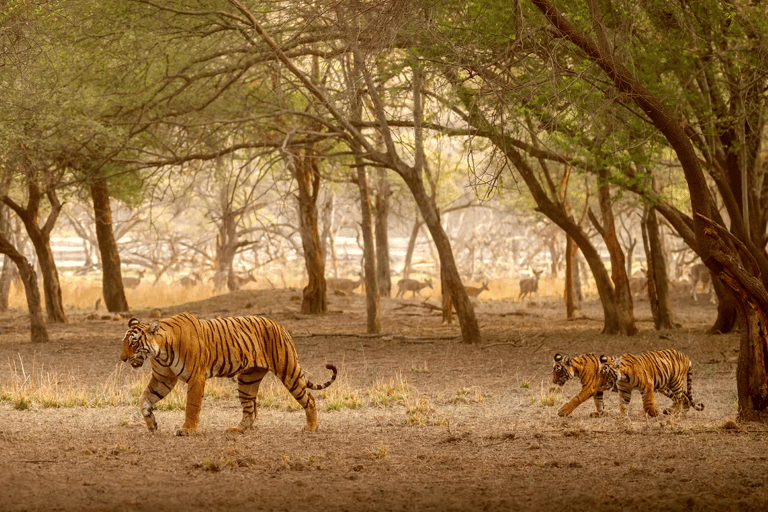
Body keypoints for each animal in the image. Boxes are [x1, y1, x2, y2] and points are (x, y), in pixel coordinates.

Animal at [120, 313, 337, 436]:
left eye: (133, 342)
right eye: (125, 342)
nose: (122, 358)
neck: (161, 351)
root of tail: (279, 325)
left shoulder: (196, 377)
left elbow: (191, 406)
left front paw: (187, 430)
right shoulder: (163, 379)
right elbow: (144, 399)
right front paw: (151, 424)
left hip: (288, 370)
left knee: (309, 399)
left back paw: (311, 428)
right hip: (247, 380)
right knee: (250, 410)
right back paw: (237, 430)